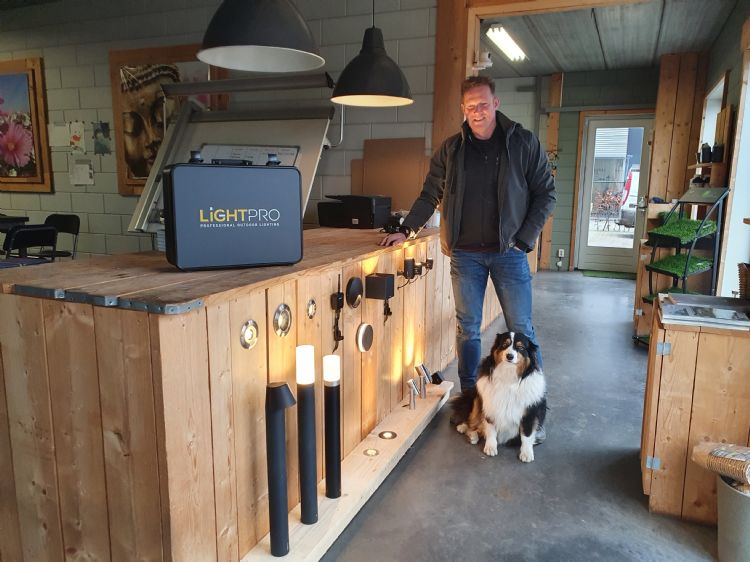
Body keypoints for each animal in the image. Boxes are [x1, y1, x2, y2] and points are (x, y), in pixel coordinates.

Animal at [452, 331, 547, 463]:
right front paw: (490, 447)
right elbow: (491, 428)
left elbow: (526, 434)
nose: (509, 356)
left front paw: (526, 453)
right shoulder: (490, 405)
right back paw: (465, 428)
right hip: (477, 399)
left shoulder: (530, 412)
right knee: (472, 421)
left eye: (520, 347)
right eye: (504, 345)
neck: (509, 375)